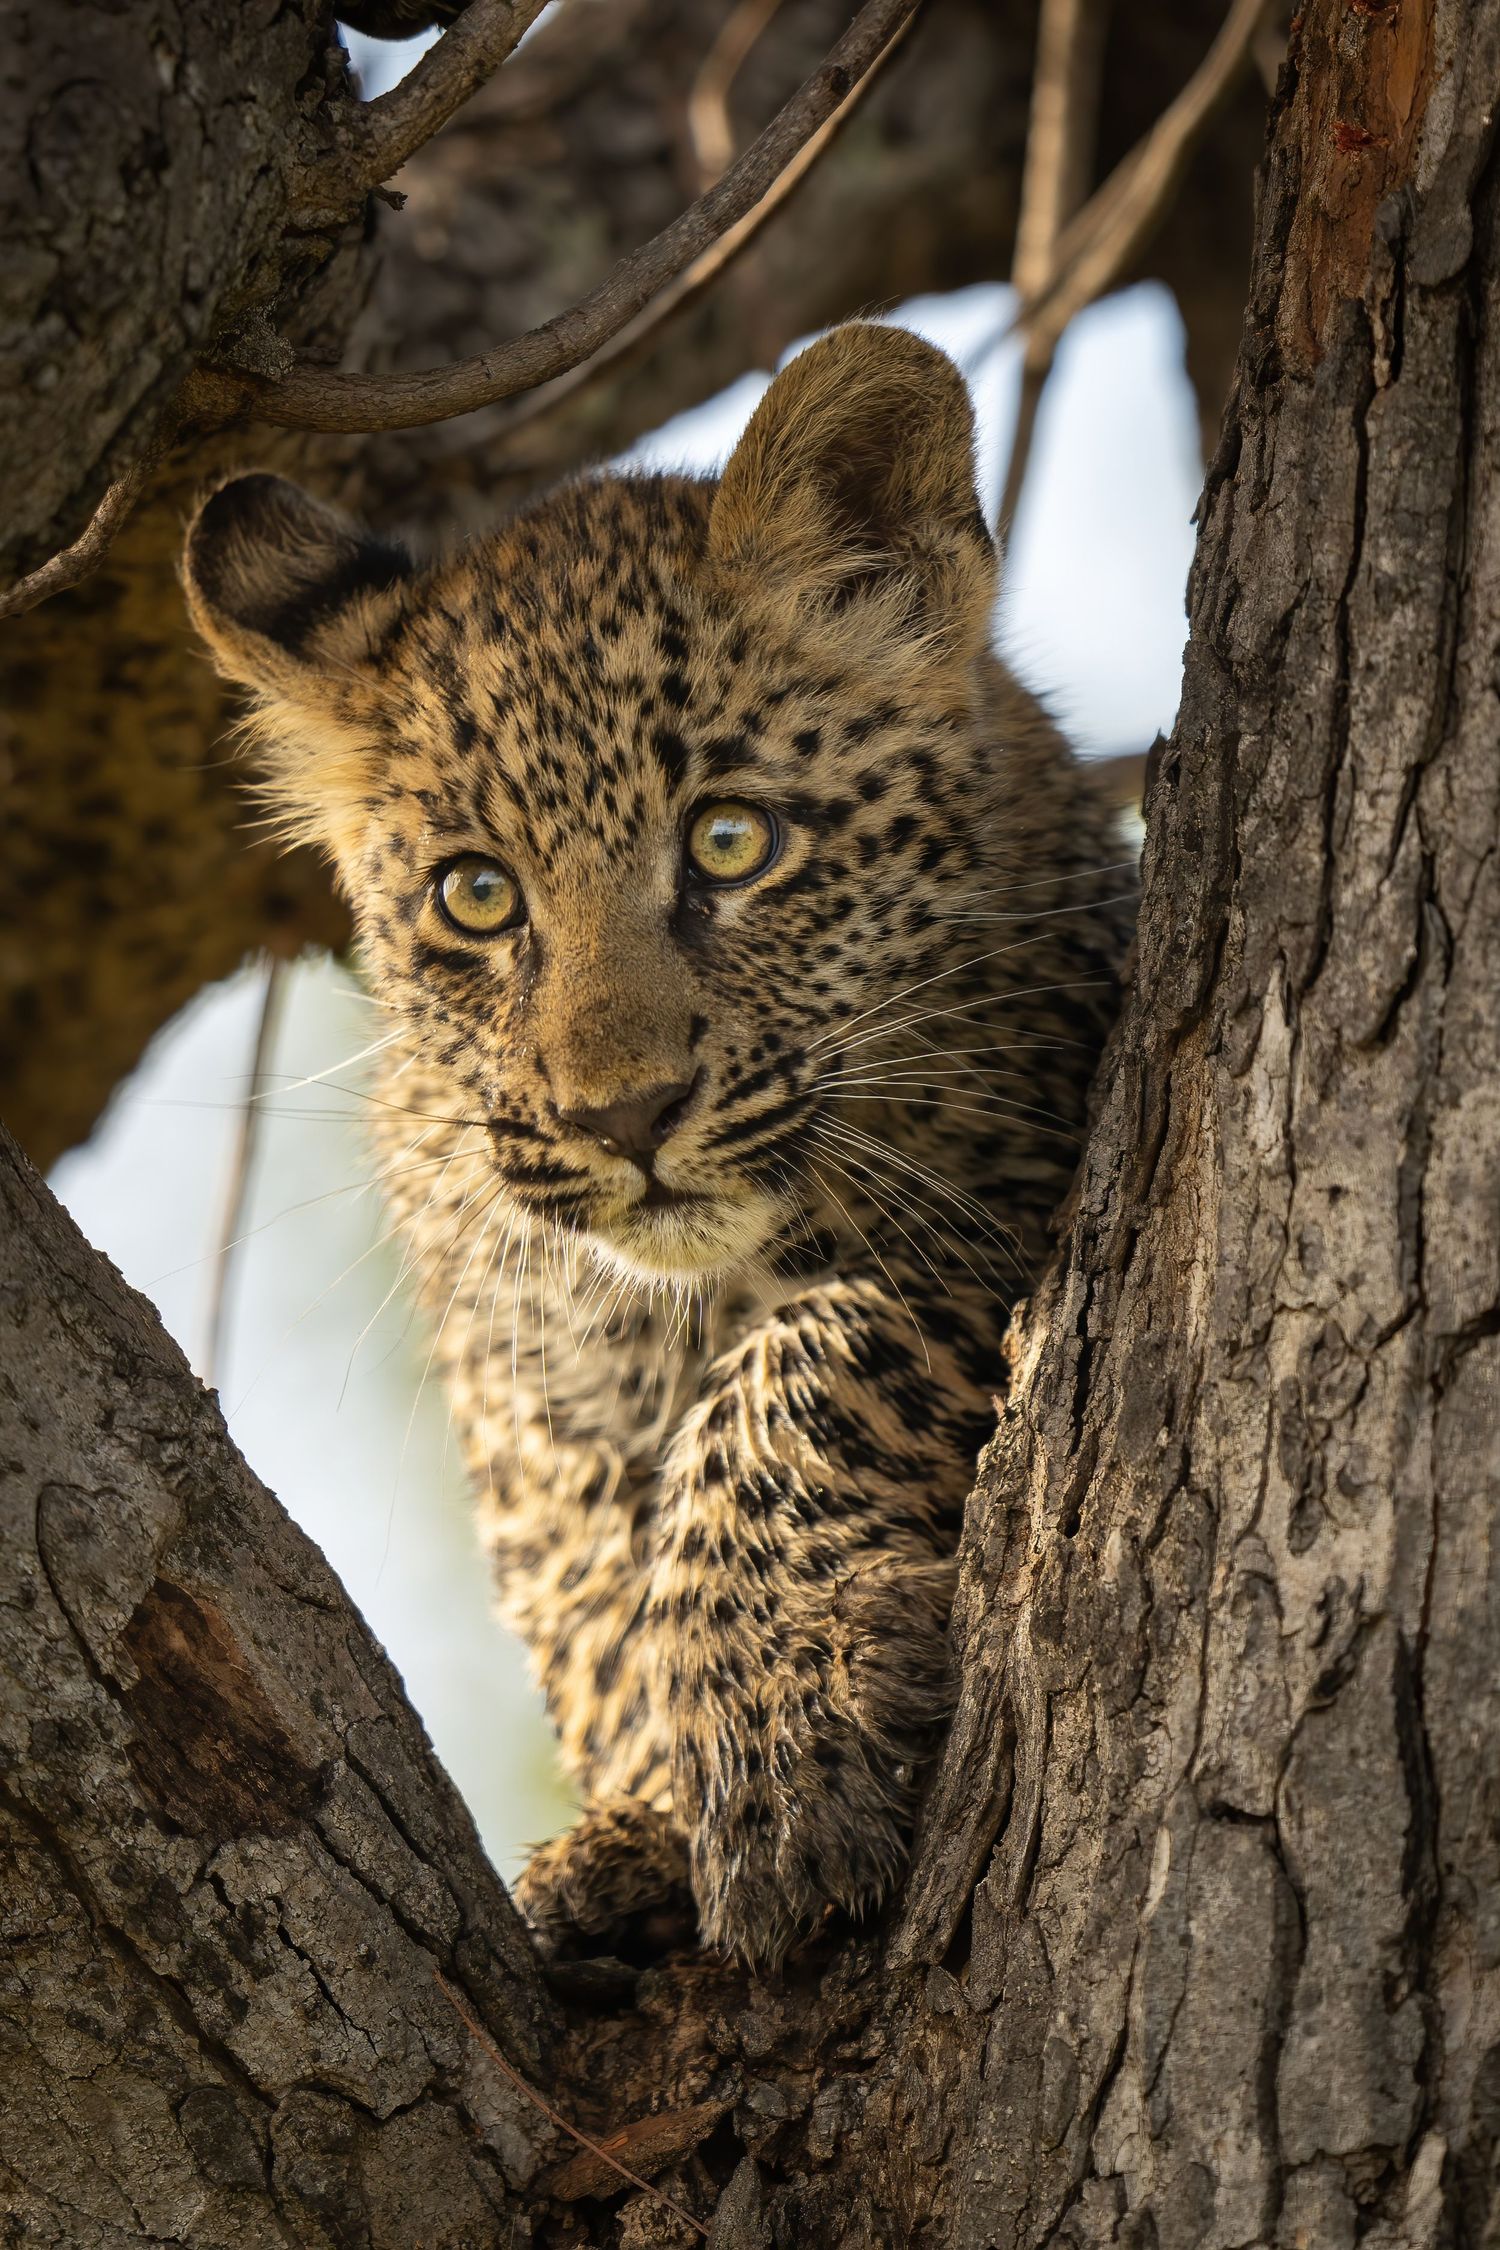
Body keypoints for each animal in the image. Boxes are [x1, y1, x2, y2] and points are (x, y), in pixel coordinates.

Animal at [183, 322, 1133, 1969]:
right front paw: (642, 1821)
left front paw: (785, 1739)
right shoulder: (520, 1375)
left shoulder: (1017, 1211)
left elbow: (803, 1366)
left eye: (732, 842)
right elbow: (580, 1577)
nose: (620, 1115)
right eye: (477, 896)